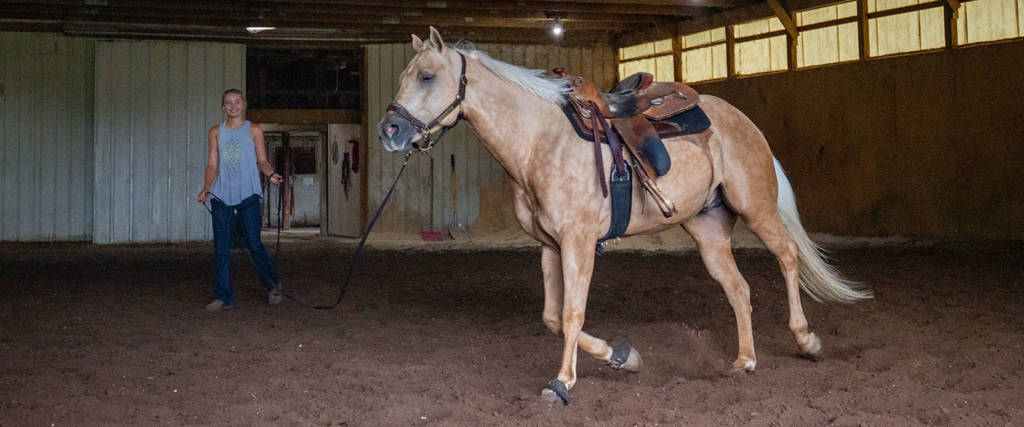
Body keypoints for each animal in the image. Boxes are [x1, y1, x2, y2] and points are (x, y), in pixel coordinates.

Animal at [378, 29, 872, 403]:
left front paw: (563, 383)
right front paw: (623, 356)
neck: (540, 141)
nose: (390, 130)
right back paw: (744, 360)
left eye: (426, 76)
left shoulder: (579, 244)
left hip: (757, 207)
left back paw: (806, 340)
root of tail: (744, 121)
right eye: (403, 75)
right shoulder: (550, 246)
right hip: (708, 230)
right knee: (739, 288)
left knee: (787, 256)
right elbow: (553, 318)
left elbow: (572, 314)